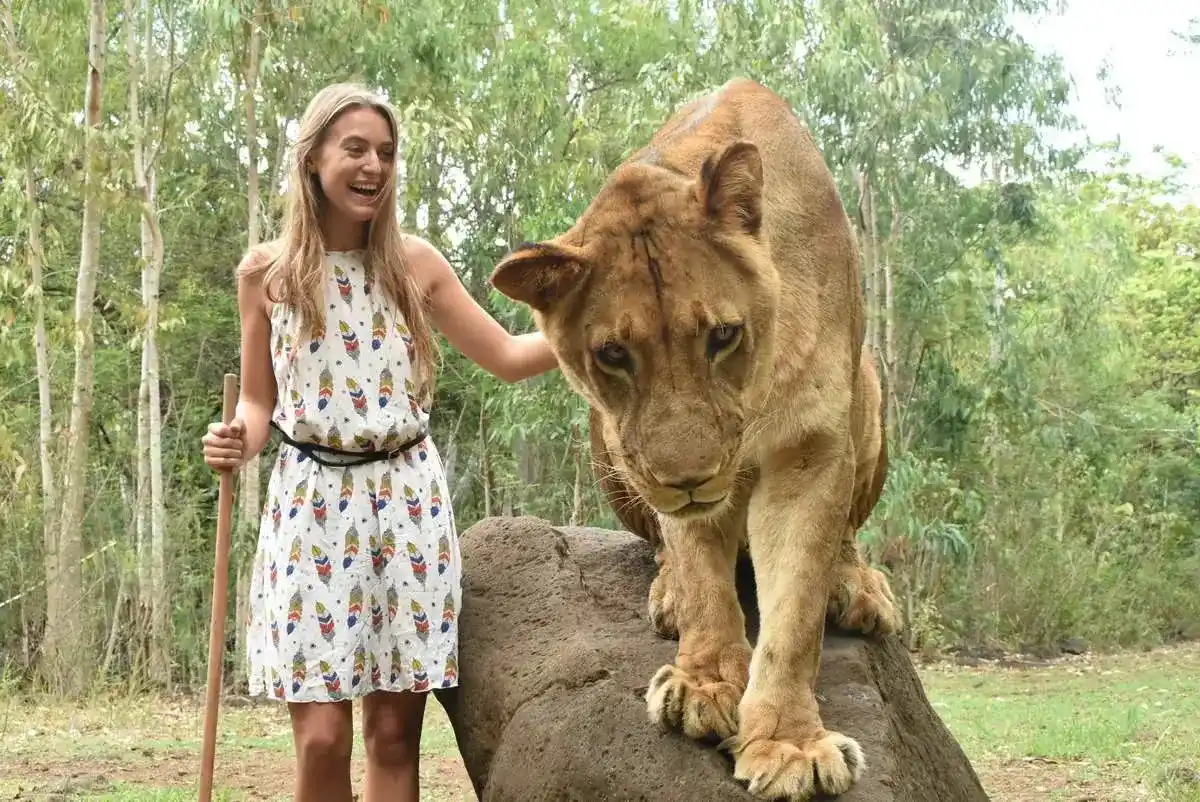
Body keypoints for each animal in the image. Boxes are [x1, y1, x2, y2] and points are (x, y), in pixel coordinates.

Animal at [489, 78, 901, 801]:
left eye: (723, 336)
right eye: (614, 354)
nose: (689, 480)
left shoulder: (809, 449)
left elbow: (794, 611)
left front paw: (791, 745)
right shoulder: (661, 470)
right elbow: (702, 571)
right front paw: (702, 685)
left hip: (869, 384)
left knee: (845, 535)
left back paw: (857, 587)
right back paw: (668, 594)